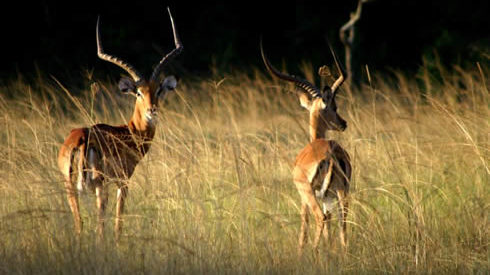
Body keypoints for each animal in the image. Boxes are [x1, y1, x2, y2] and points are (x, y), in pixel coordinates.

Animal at [58, 8, 184, 242]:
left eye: (158, 89)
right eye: (139, 92)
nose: (152, 110)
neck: (129, 133)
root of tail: (82, 137)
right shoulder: (123, 182)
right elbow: (118, 224)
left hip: (70, 186)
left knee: (80, 225)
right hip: (100, 186)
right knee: (99, 228)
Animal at [262, 40, 350, 256]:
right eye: (334, 107)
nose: (343, 123)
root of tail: (331, 153)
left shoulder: (303, 195)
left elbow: (303, 228)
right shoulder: (327, 196)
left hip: (311, 193)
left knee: (320, 218)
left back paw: (314, 254)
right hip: (341, 192)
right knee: (343, 224)